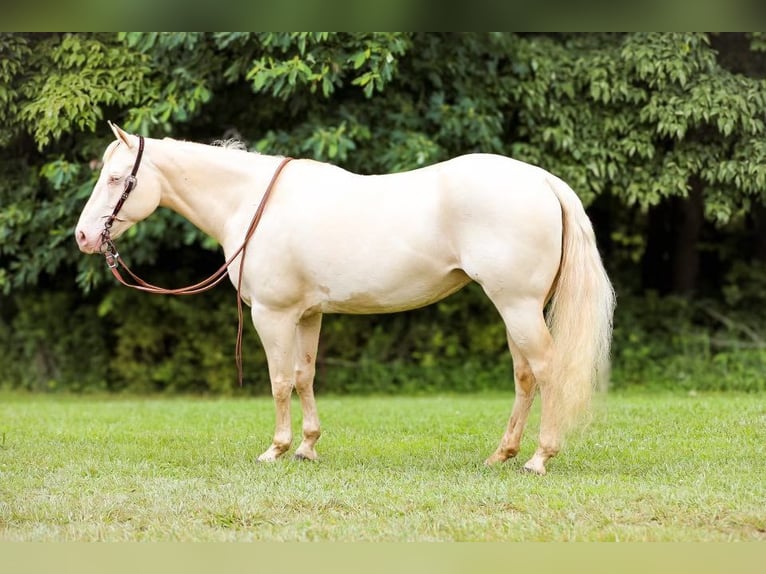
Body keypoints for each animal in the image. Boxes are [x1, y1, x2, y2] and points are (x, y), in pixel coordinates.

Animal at [76, 122, 616, 476]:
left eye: (117, 178)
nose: (84, 236)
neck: (250, 203)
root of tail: (543, 180)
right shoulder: (308, 314)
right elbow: (304, 376)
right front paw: (307, 448)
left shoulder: (273, 315)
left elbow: (278, 381)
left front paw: (276, 449)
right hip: (514, 308)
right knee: (525, 376)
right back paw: (502, 454)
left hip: (518, 305)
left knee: (546, 370)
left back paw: (539, 458)